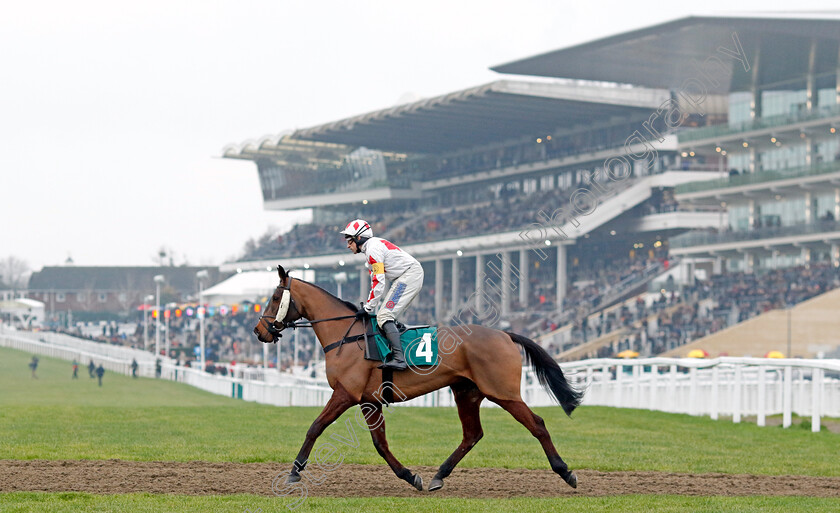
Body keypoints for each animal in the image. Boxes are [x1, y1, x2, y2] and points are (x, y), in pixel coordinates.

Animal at [254, 264, 584, 492]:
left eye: (275, 297)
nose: (259, 331)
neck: (346, 337)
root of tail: (504, 333)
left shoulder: (345, 394)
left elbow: (315, 427)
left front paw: (294, 472)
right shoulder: (369, 401)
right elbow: (380, 444)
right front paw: (411, 476)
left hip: (502, 392)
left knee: (537, 424)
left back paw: (566, 472)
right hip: (466, 392)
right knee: (472, 435)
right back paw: (439, 476)